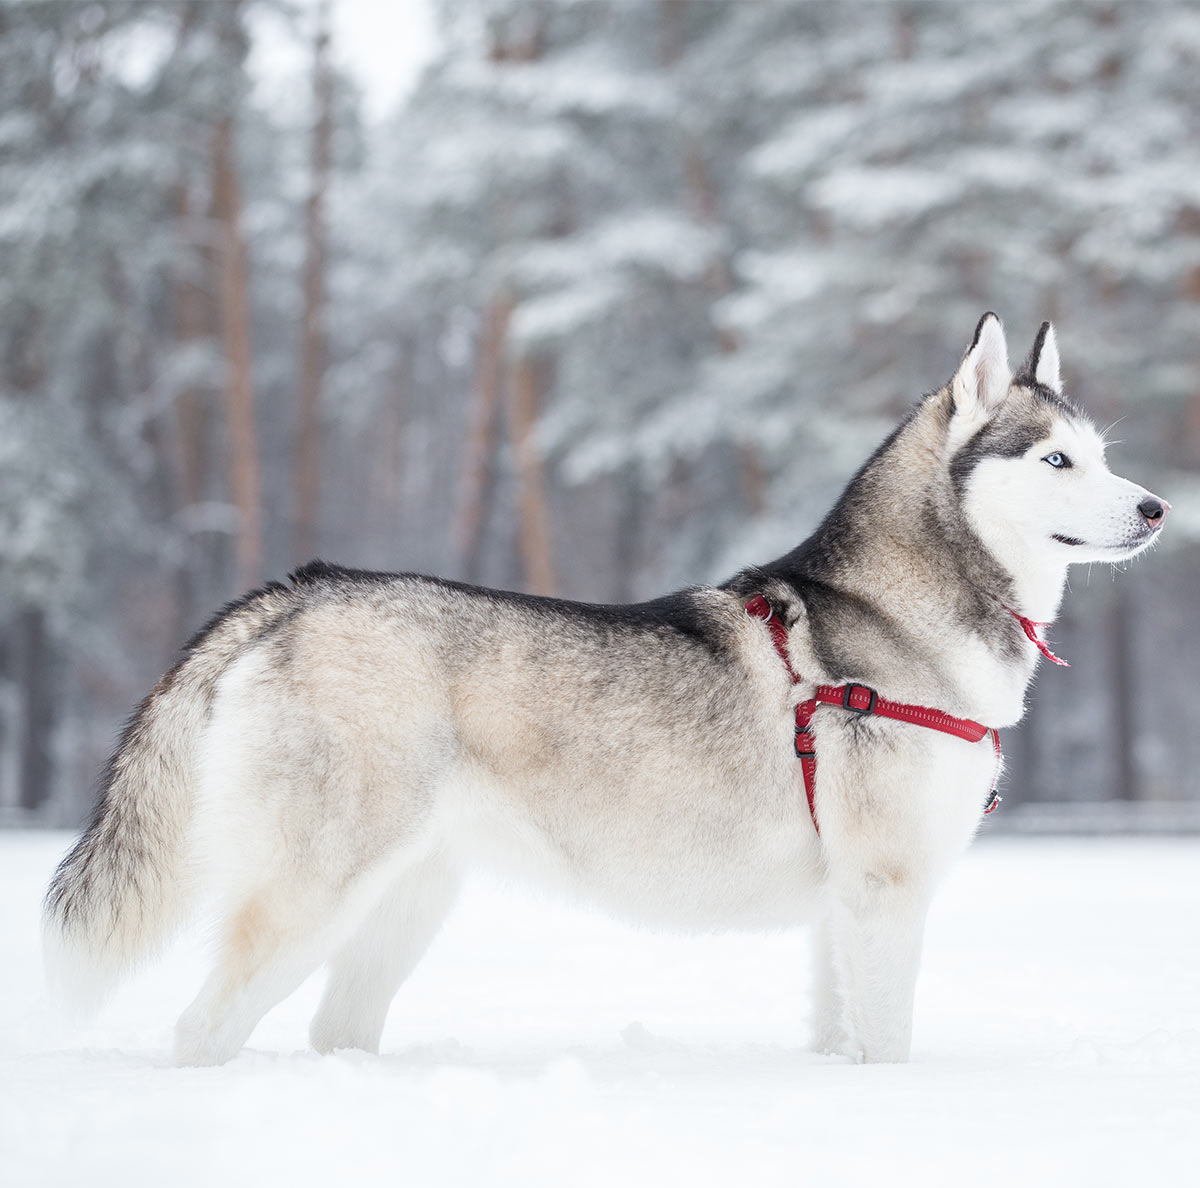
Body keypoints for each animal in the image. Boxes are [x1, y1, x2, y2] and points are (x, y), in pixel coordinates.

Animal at [42, 312, 1166, 1065]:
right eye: (1056, 460)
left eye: (1102, 456)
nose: (1157, 507)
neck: (900, 608)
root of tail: (301, 589)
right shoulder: (887, 888)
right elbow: (888, 1046)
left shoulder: (843, 904)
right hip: (312, 893)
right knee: (203, 1027)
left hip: (403, 902)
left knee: (334, 1029)